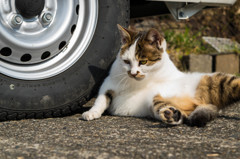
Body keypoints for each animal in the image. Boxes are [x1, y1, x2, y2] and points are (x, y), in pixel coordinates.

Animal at [81, 24, 239, 126]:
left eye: (143, 61)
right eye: (126, 61)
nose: (133, 73)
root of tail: (199, 102)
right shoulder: (109, 83)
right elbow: (101, 99)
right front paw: (92, 112)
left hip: (215, 82)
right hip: (161, 100)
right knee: (178, 112)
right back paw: (172, 114)